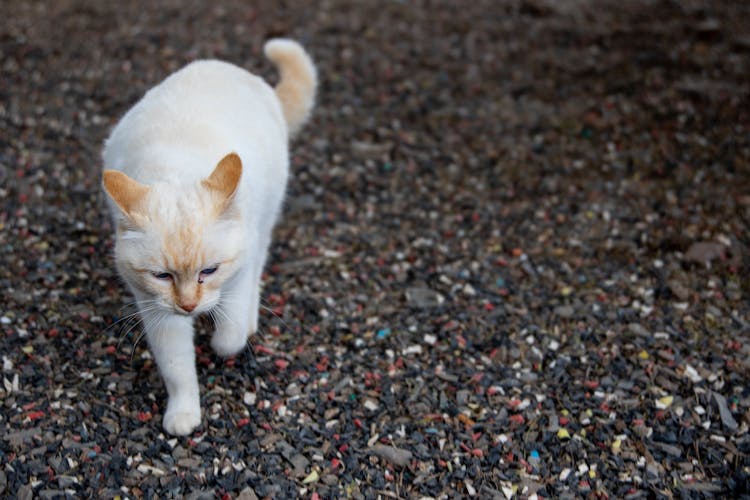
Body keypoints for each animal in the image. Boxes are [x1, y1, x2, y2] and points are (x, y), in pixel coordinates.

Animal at [100, 39, 318, 436]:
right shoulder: (157, 311)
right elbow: (177, 369)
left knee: (257, 271)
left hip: (265, 222)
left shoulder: (237, 273)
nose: (189, 306)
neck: (174, 167)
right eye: (162, 276)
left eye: (209, 271)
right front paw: (183, 415)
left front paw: (225, 342)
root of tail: (231, 69)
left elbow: (230, 334)